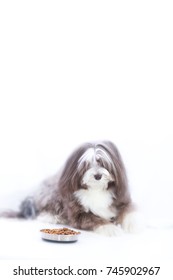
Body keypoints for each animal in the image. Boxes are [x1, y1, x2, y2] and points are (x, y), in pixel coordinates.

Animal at [0, 141, 139, 235]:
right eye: (86, 165)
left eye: (102, 163)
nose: (98, 176)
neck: (96, 189)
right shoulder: (77, 213)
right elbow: (94, 219)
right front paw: (110, 228)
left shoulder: (121, 198)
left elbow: (128, 210)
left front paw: (132, 224)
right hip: (51, 195)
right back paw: (53, 217)